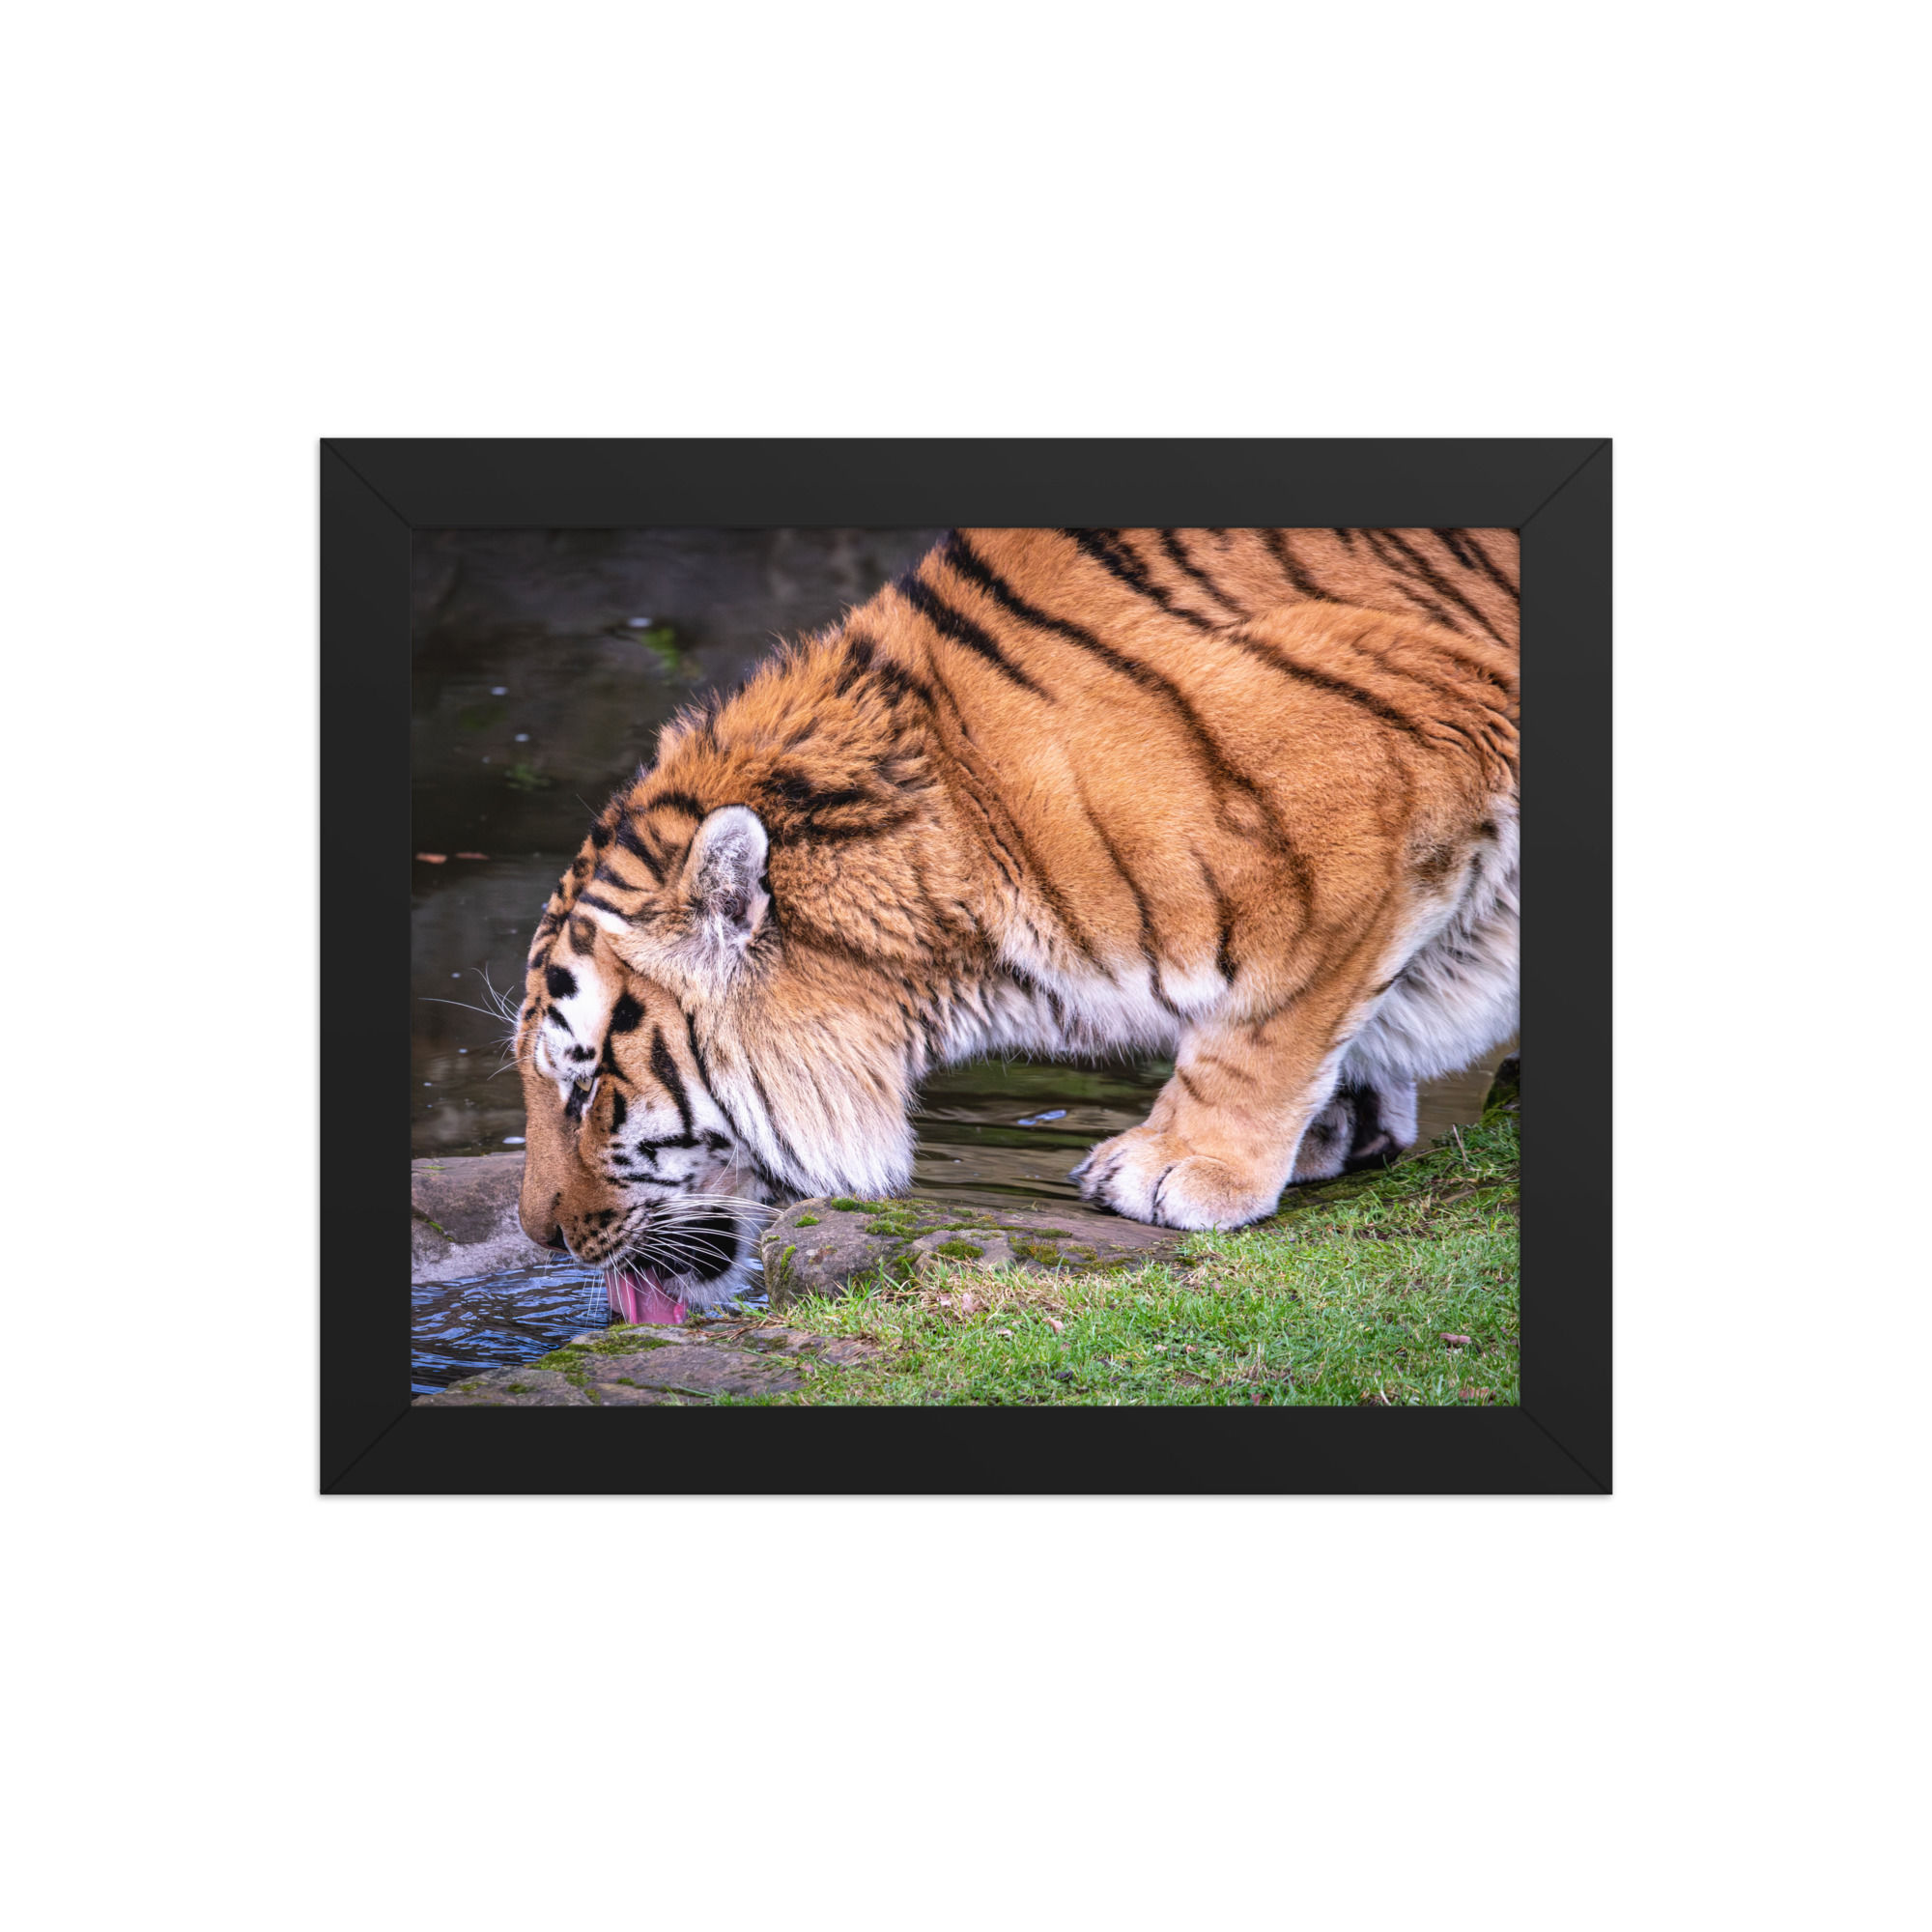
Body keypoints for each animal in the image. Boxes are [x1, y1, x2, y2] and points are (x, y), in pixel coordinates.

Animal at [514, 527, 1519, 1320]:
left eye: (586, 1086)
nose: (540, 1238)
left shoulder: (1383, 765)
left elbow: (1267, 1013)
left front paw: (1181, 1166)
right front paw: (1338, 1127)